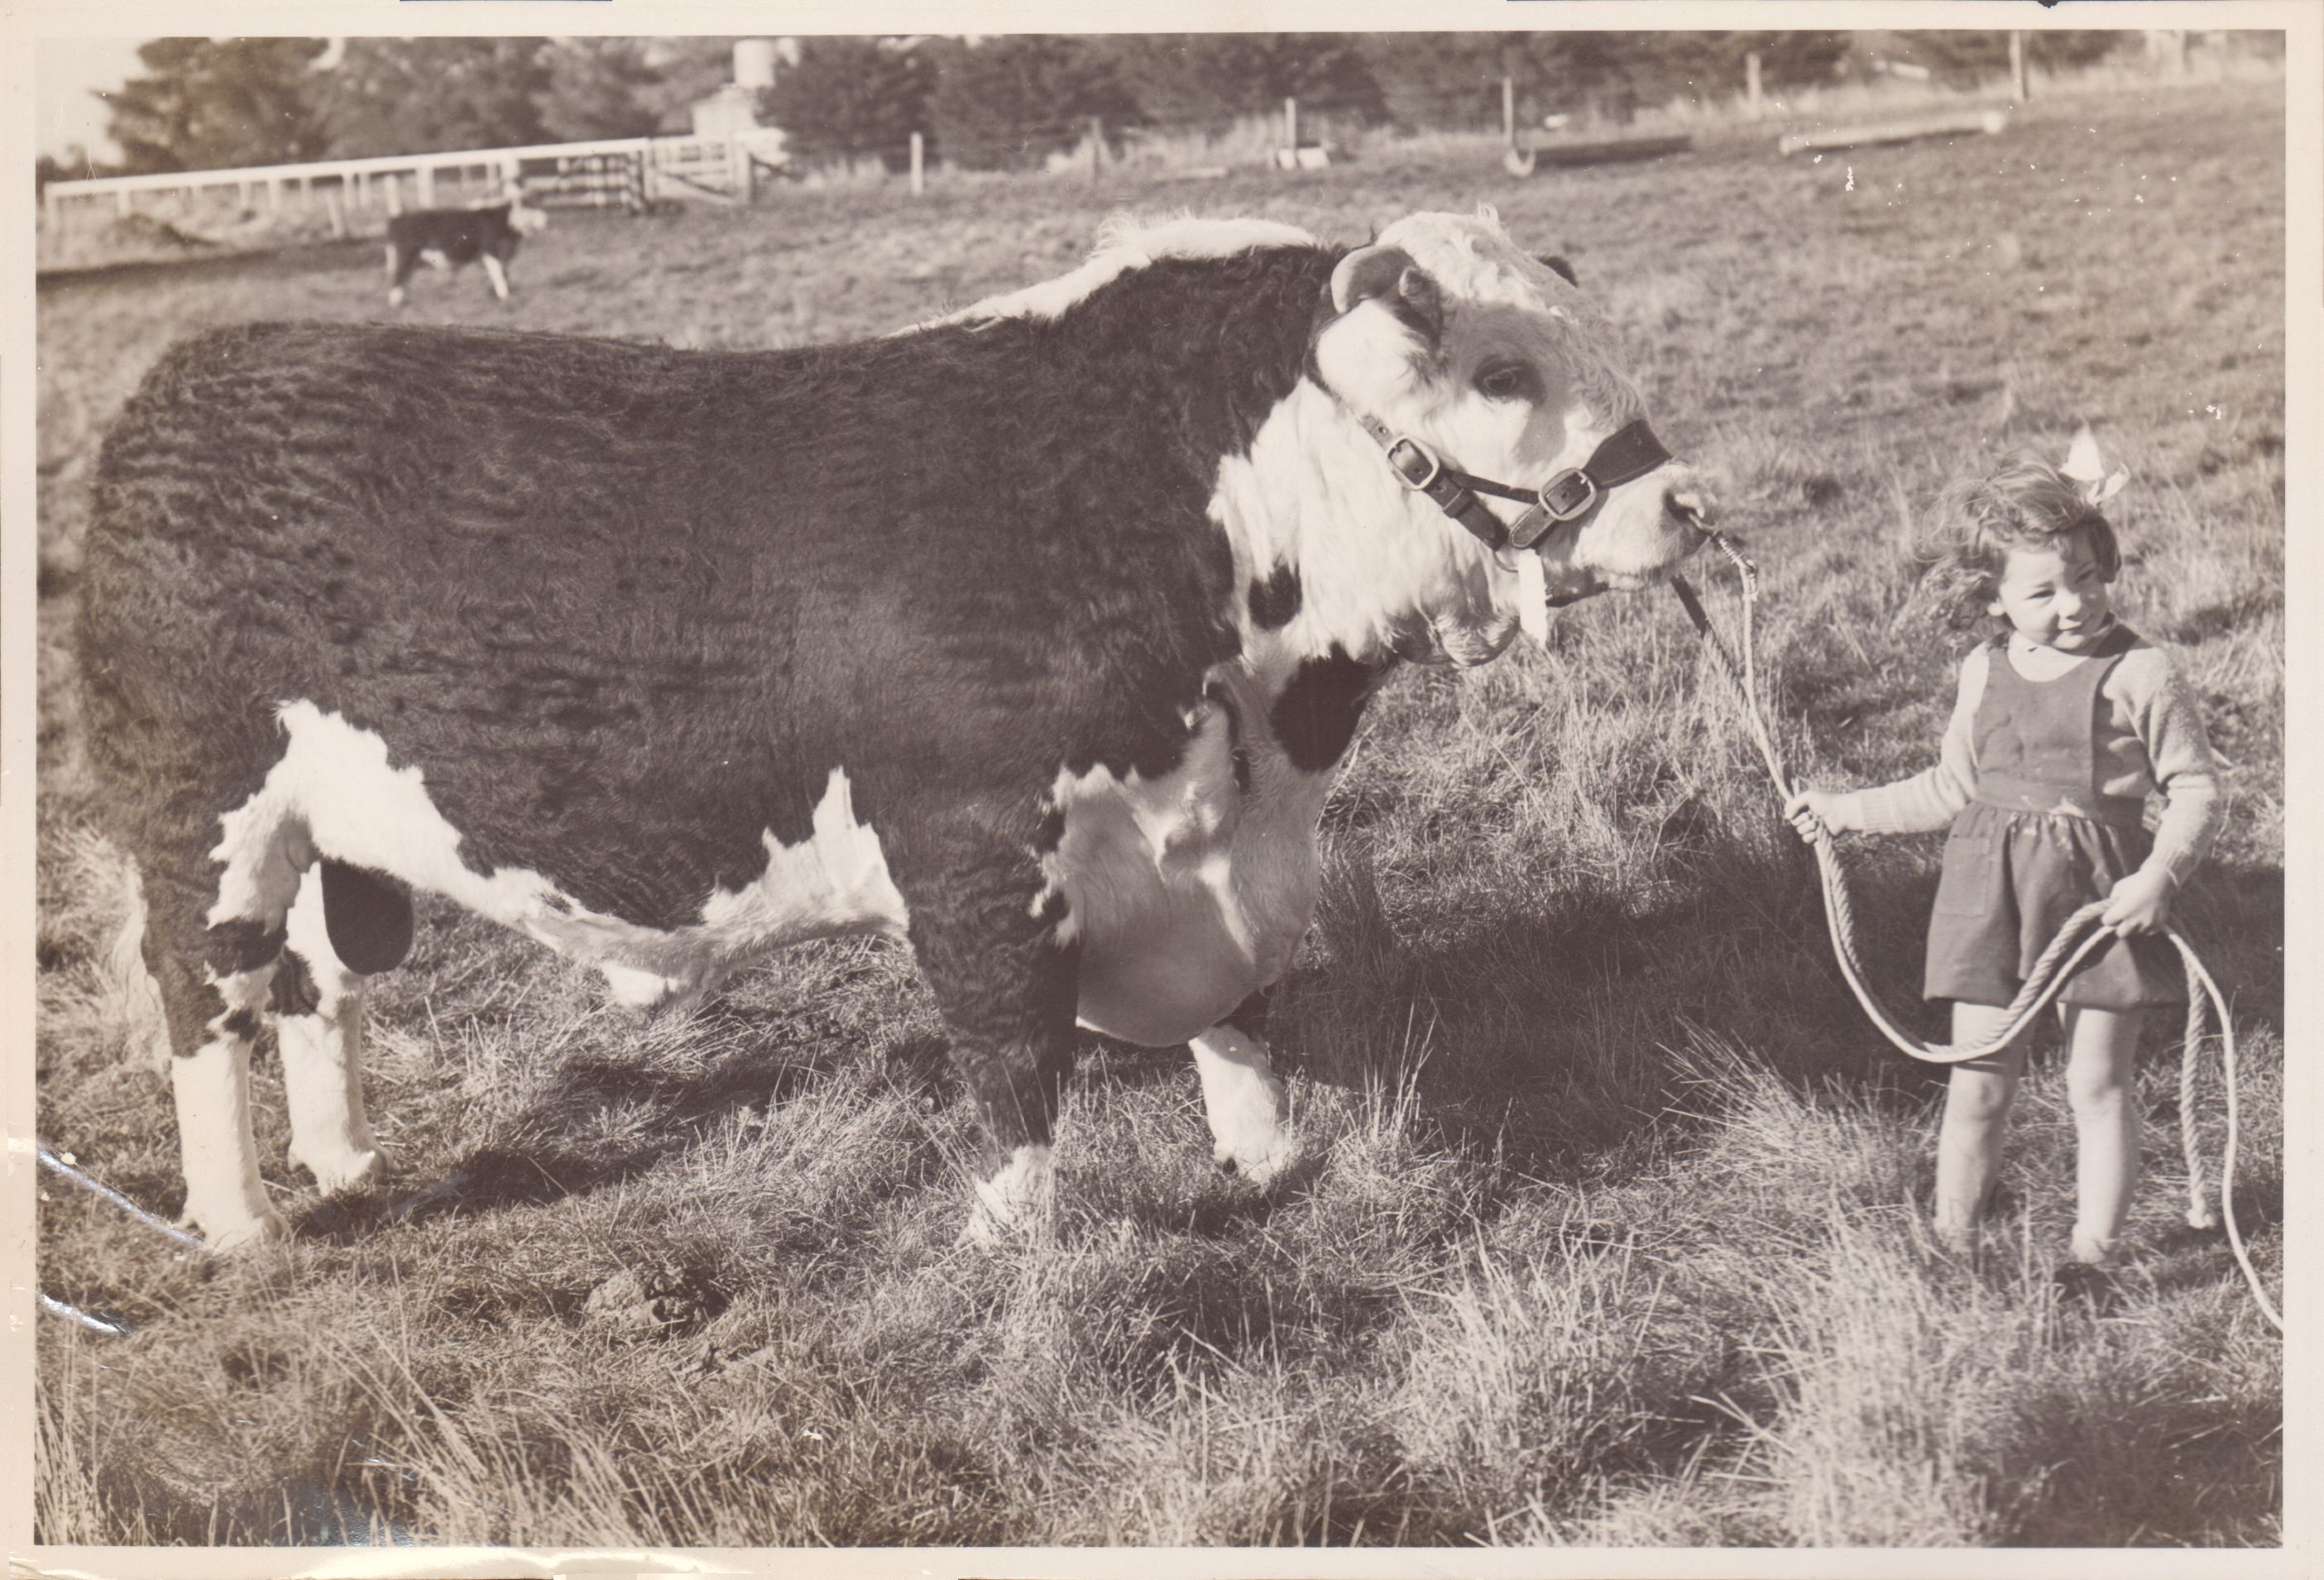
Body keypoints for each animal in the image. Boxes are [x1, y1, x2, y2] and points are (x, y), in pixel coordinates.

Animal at [78, 208, 1715, 1252]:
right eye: (1502, 374)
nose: (1684, 503)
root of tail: (191, 374)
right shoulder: (979, 849)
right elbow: (1012, 1049)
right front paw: (1005, 1237)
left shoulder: (1223, 855)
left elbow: (1243, 1016)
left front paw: (1263, 1165)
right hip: (202, 818)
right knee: (204, 996)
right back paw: (239, 1222)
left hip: (333, 838)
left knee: (315, 990)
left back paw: (344, 1156)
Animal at [383, 197, 548, 309]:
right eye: (531, 208)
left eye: (539, 207)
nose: (546, 220)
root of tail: (398, 217)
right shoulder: (490, 249)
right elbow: (498, 274)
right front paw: (504, 297)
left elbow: (503, 272)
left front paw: (496, 294)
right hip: (407, 254)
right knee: (399, 277)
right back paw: (395, 305)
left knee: (404, 279)